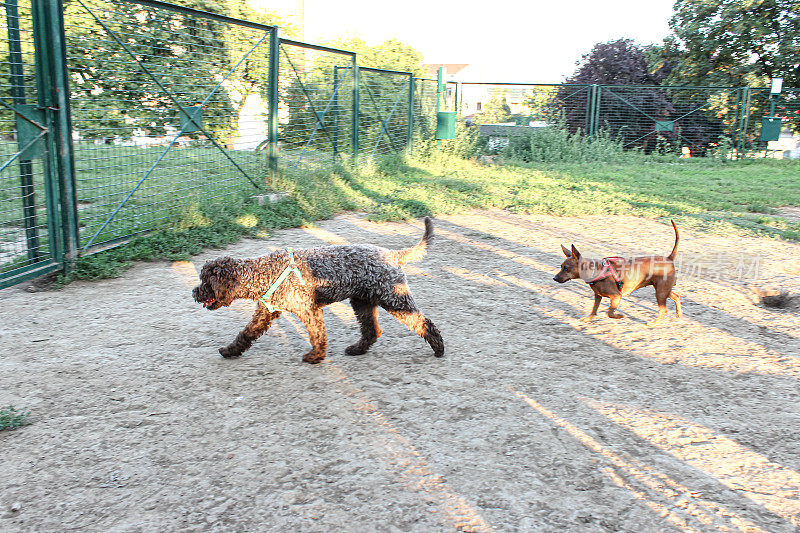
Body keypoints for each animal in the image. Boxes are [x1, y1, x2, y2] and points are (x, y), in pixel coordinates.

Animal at [193, 216, 444, 362]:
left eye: (206, 283)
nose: (194, 293)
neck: (263, 272)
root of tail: (390, 254)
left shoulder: (308, 310)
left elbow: (317, 334)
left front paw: (315, 356)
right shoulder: (265, 313)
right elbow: (246, 334)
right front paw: (229, 351)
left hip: (394, 299)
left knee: (423, 323)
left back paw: (438, 348)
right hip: (362, 302)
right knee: (372, 331)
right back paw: (357, 349)